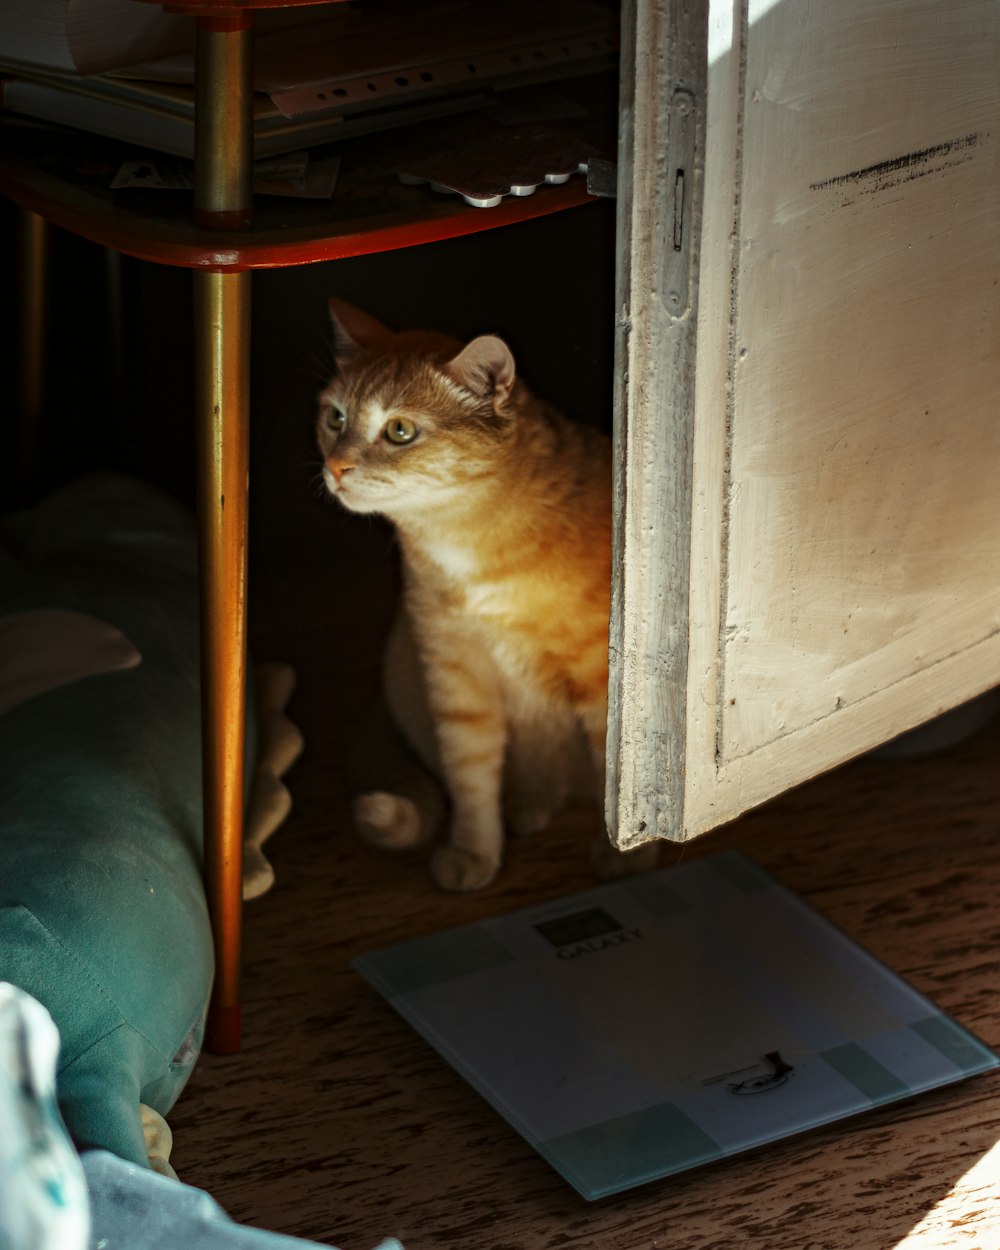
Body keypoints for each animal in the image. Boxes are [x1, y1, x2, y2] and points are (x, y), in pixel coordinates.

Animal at [315, 301, 655, 890]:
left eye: (399, 430)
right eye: (335, 418)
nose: (335, 468)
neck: (467, 544)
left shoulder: (600, 679)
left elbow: (614, 773)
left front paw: (624, 857)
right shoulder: (457, 676)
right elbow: (470, 777)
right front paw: (474, 850)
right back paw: (525, 809)